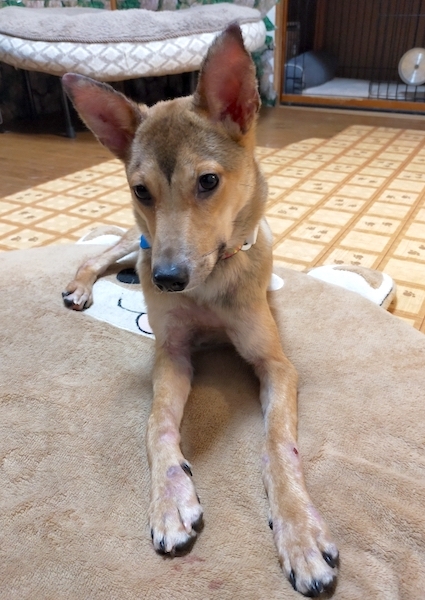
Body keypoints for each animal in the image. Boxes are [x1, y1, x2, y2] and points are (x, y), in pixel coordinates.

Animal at [61, 24, 339, 597]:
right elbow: (157, 425)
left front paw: (299, 533)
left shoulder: (277, 365)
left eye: (208, 181)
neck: (209, 283)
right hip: (137, 239)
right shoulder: (172, 353)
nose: (167, 281)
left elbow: (278, 445)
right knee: (100, 252)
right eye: (140, 189)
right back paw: (82, 286)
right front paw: (170, 502)